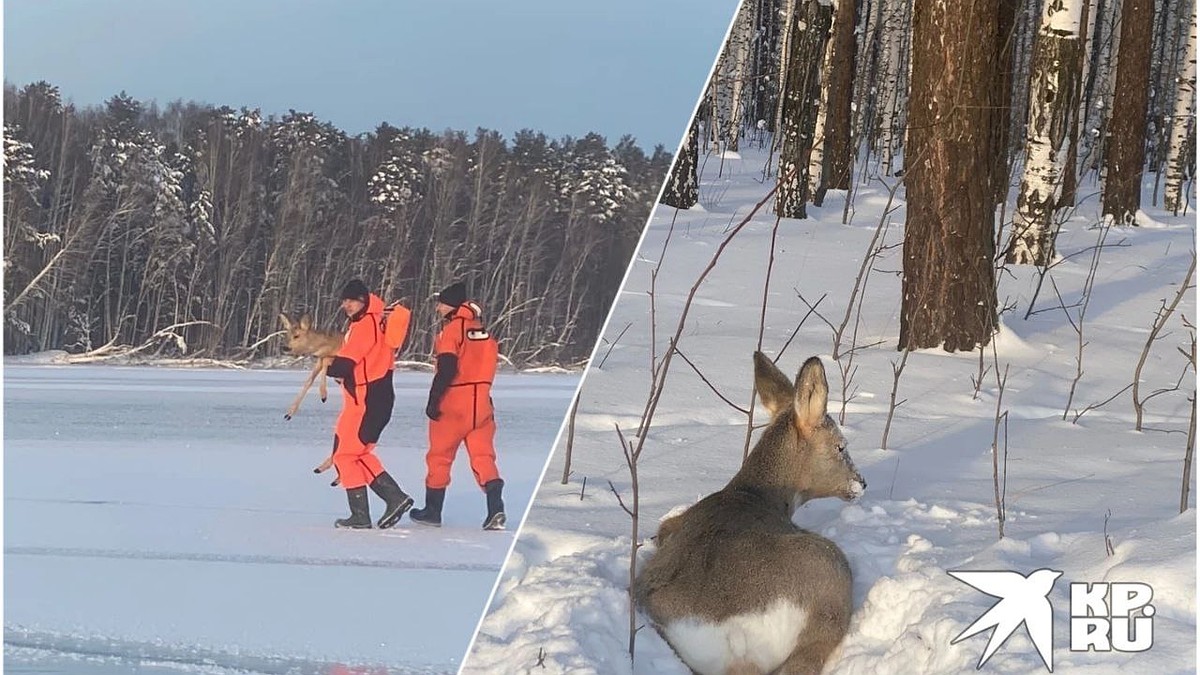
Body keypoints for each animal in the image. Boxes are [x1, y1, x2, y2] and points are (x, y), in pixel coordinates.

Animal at [633, 353, 868, 672]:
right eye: (840, 446)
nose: (861, 483)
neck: (758, 495)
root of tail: (733, 633)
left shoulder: (670, 525)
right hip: (831, 577)